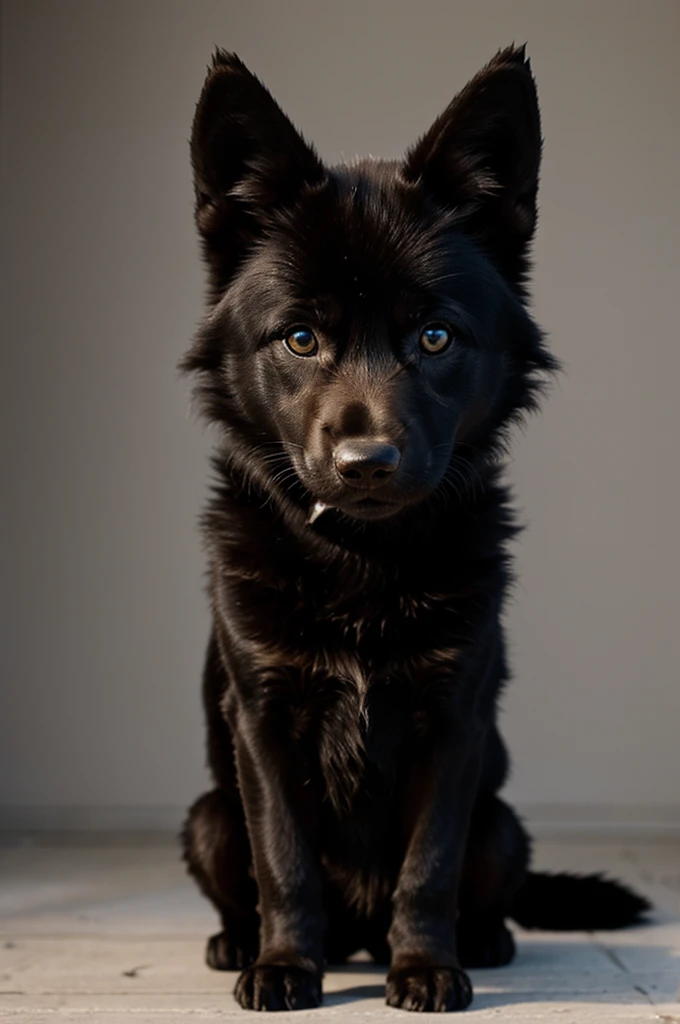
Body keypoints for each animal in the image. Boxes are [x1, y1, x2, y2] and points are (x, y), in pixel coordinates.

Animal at [180, 46, 647, 1007]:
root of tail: (357, 936)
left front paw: (428, 967)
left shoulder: (454, 722)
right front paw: (285, 966)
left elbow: (428, 866)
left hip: (504, 825)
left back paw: (484, 939)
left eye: (435, 338)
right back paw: (238, 943)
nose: (368, 462)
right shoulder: (262, 722)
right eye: (299, 339)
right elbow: (284, 860)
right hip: (208, 817)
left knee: (479, 877)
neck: (360, 558)